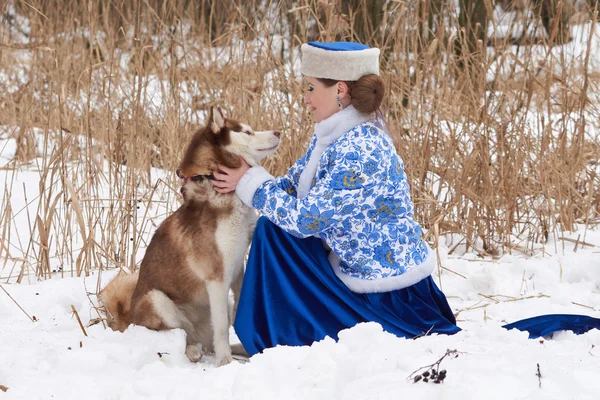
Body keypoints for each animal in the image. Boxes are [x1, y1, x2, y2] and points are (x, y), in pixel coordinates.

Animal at [100, 106, 282, 366]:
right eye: (247, 131)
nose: (278, 132)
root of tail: (128, 320)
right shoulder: (216, 277)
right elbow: (222, 327)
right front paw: (225, 362)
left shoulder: (237, 265)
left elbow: (238, 306)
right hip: (157, 300)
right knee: (179, 334)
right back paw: (194, 351)